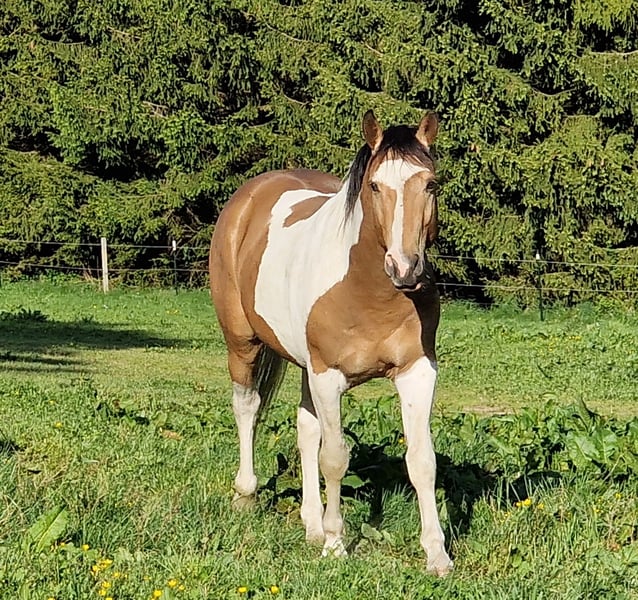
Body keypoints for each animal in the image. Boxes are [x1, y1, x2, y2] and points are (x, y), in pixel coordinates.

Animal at [209, 110, 453, 576]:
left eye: (431, 184)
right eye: (374, 186)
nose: (406, 268)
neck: (367, 290)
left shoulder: (417, 372)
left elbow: (422, 461)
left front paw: (437, 554)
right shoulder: (328, 376)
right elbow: (335, 457)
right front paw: (337, 543)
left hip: (304, 367)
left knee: (305, 429)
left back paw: (311, 525)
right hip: (243, 343)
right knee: (247, 408)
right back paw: (247, 495)